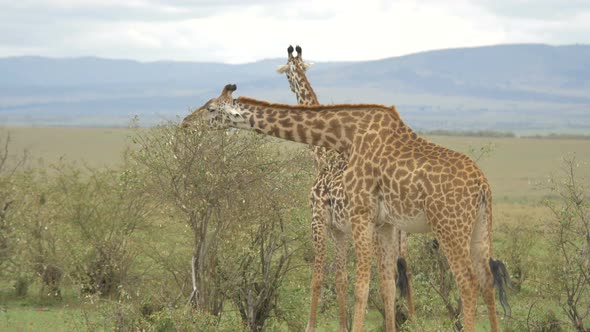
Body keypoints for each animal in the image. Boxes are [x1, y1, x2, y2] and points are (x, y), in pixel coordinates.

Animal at [183, 84, 512, 330]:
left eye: (210, 108)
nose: (185, 124)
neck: (345, 136)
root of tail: (483, 186)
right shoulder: (385, 223)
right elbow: (387, 285)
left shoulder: (359, 213)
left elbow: (360, 286)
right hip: (480, 228)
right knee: (487, 281)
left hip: (449, 227)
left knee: (467, 283)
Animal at [278, 44, 416, 332]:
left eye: (286, 72)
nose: (289, 84)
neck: (323, 154)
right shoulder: (338, 229)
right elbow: (340, 278)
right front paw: (342, 326)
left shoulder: (318, 217)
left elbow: (318, 276)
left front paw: (310, 326)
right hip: (399, 233)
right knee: (403, 273)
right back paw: (410, 321)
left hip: (375, 232)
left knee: (385, 279)